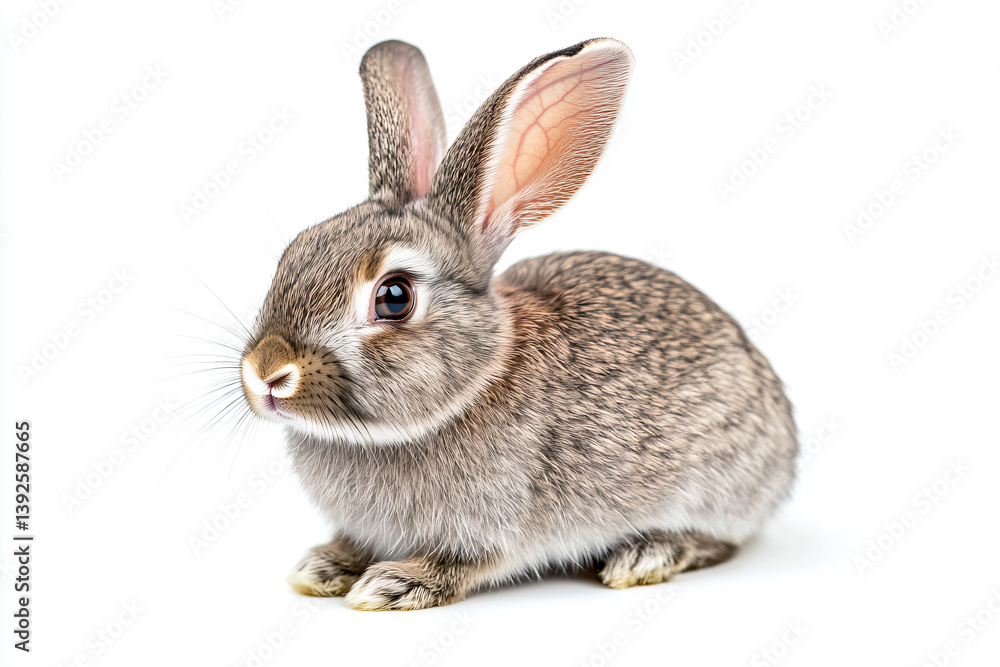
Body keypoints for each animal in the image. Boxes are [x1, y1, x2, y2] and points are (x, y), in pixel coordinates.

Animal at [237, 37, 798, 611]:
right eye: (294, 251)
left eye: (394, 298)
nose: (265, 372)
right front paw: (321, 566)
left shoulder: (492, 527)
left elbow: (462, 564)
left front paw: (393, 584)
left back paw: (644, 555)